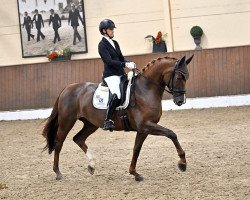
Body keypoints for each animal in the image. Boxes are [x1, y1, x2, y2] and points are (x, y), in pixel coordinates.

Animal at [42, 54, 193, 181]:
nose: (180, 101)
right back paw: (58, 173)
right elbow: (171, 134)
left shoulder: (143, 129)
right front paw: (182, 163)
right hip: (67, 121)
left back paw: (91, 166)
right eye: (179, 77)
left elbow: (136, 149)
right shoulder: (146, 125)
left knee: (78, 138)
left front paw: (134, 173)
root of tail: (67, 88)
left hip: (91, 124)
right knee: (59, 143)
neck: (146, 89)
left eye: (187, 77)